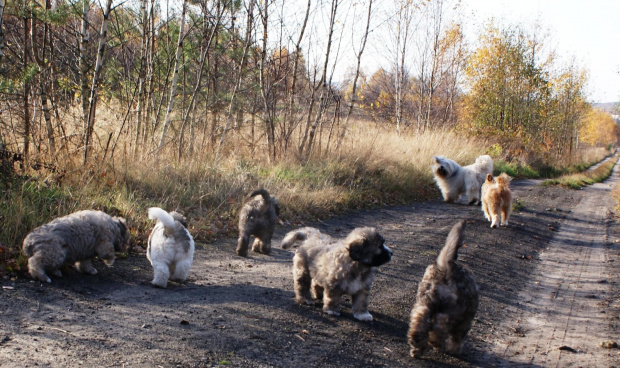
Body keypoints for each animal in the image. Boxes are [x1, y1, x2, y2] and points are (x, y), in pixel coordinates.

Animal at [406, 220, 480, 358]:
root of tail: (446, 268)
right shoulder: (464, 320)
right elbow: (457, 337)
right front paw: (454, 349)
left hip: (424, 301)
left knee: (420, 320)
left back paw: (417, 344)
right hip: (450, 311)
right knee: (439, 328)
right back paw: (435, 343)